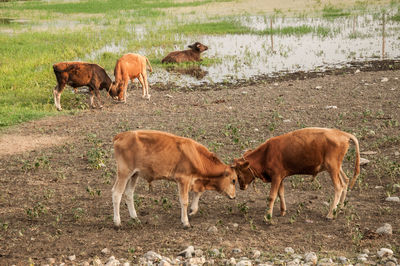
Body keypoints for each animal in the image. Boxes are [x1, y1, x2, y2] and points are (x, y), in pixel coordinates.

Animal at [231, 128, 360, 221]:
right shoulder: (280, 177)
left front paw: (267, 216)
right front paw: (283, 211)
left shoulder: (276, 177)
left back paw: (330, 214)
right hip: (337, 167)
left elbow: (272, 196)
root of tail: (342, 134)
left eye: (238, 174)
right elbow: (281, 193)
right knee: (345, 181)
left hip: (332, 167)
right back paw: (340, 208)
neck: (266, 154)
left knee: (339, 187)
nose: (241, 187)